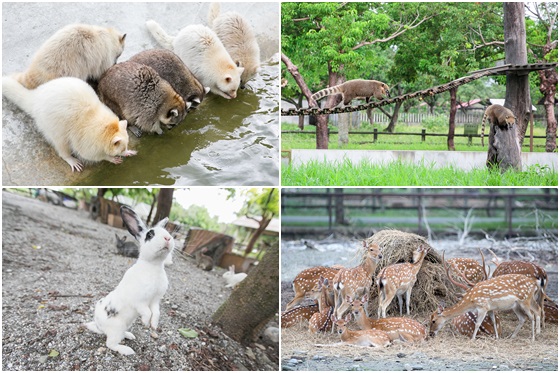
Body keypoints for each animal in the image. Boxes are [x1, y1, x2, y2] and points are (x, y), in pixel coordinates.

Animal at [84, 206, 173, 354]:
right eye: (150, 235)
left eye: (167, 232)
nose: (168, 238)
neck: (153, 265)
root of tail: (99, 325)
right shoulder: (139, 302)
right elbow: (147, 312)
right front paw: (145, 322)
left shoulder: (155, 300)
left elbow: (156, 313)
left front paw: (154, 325)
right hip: (116, 328)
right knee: (110, 344)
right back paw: (127, 350)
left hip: (126, 324)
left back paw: (130, 336)